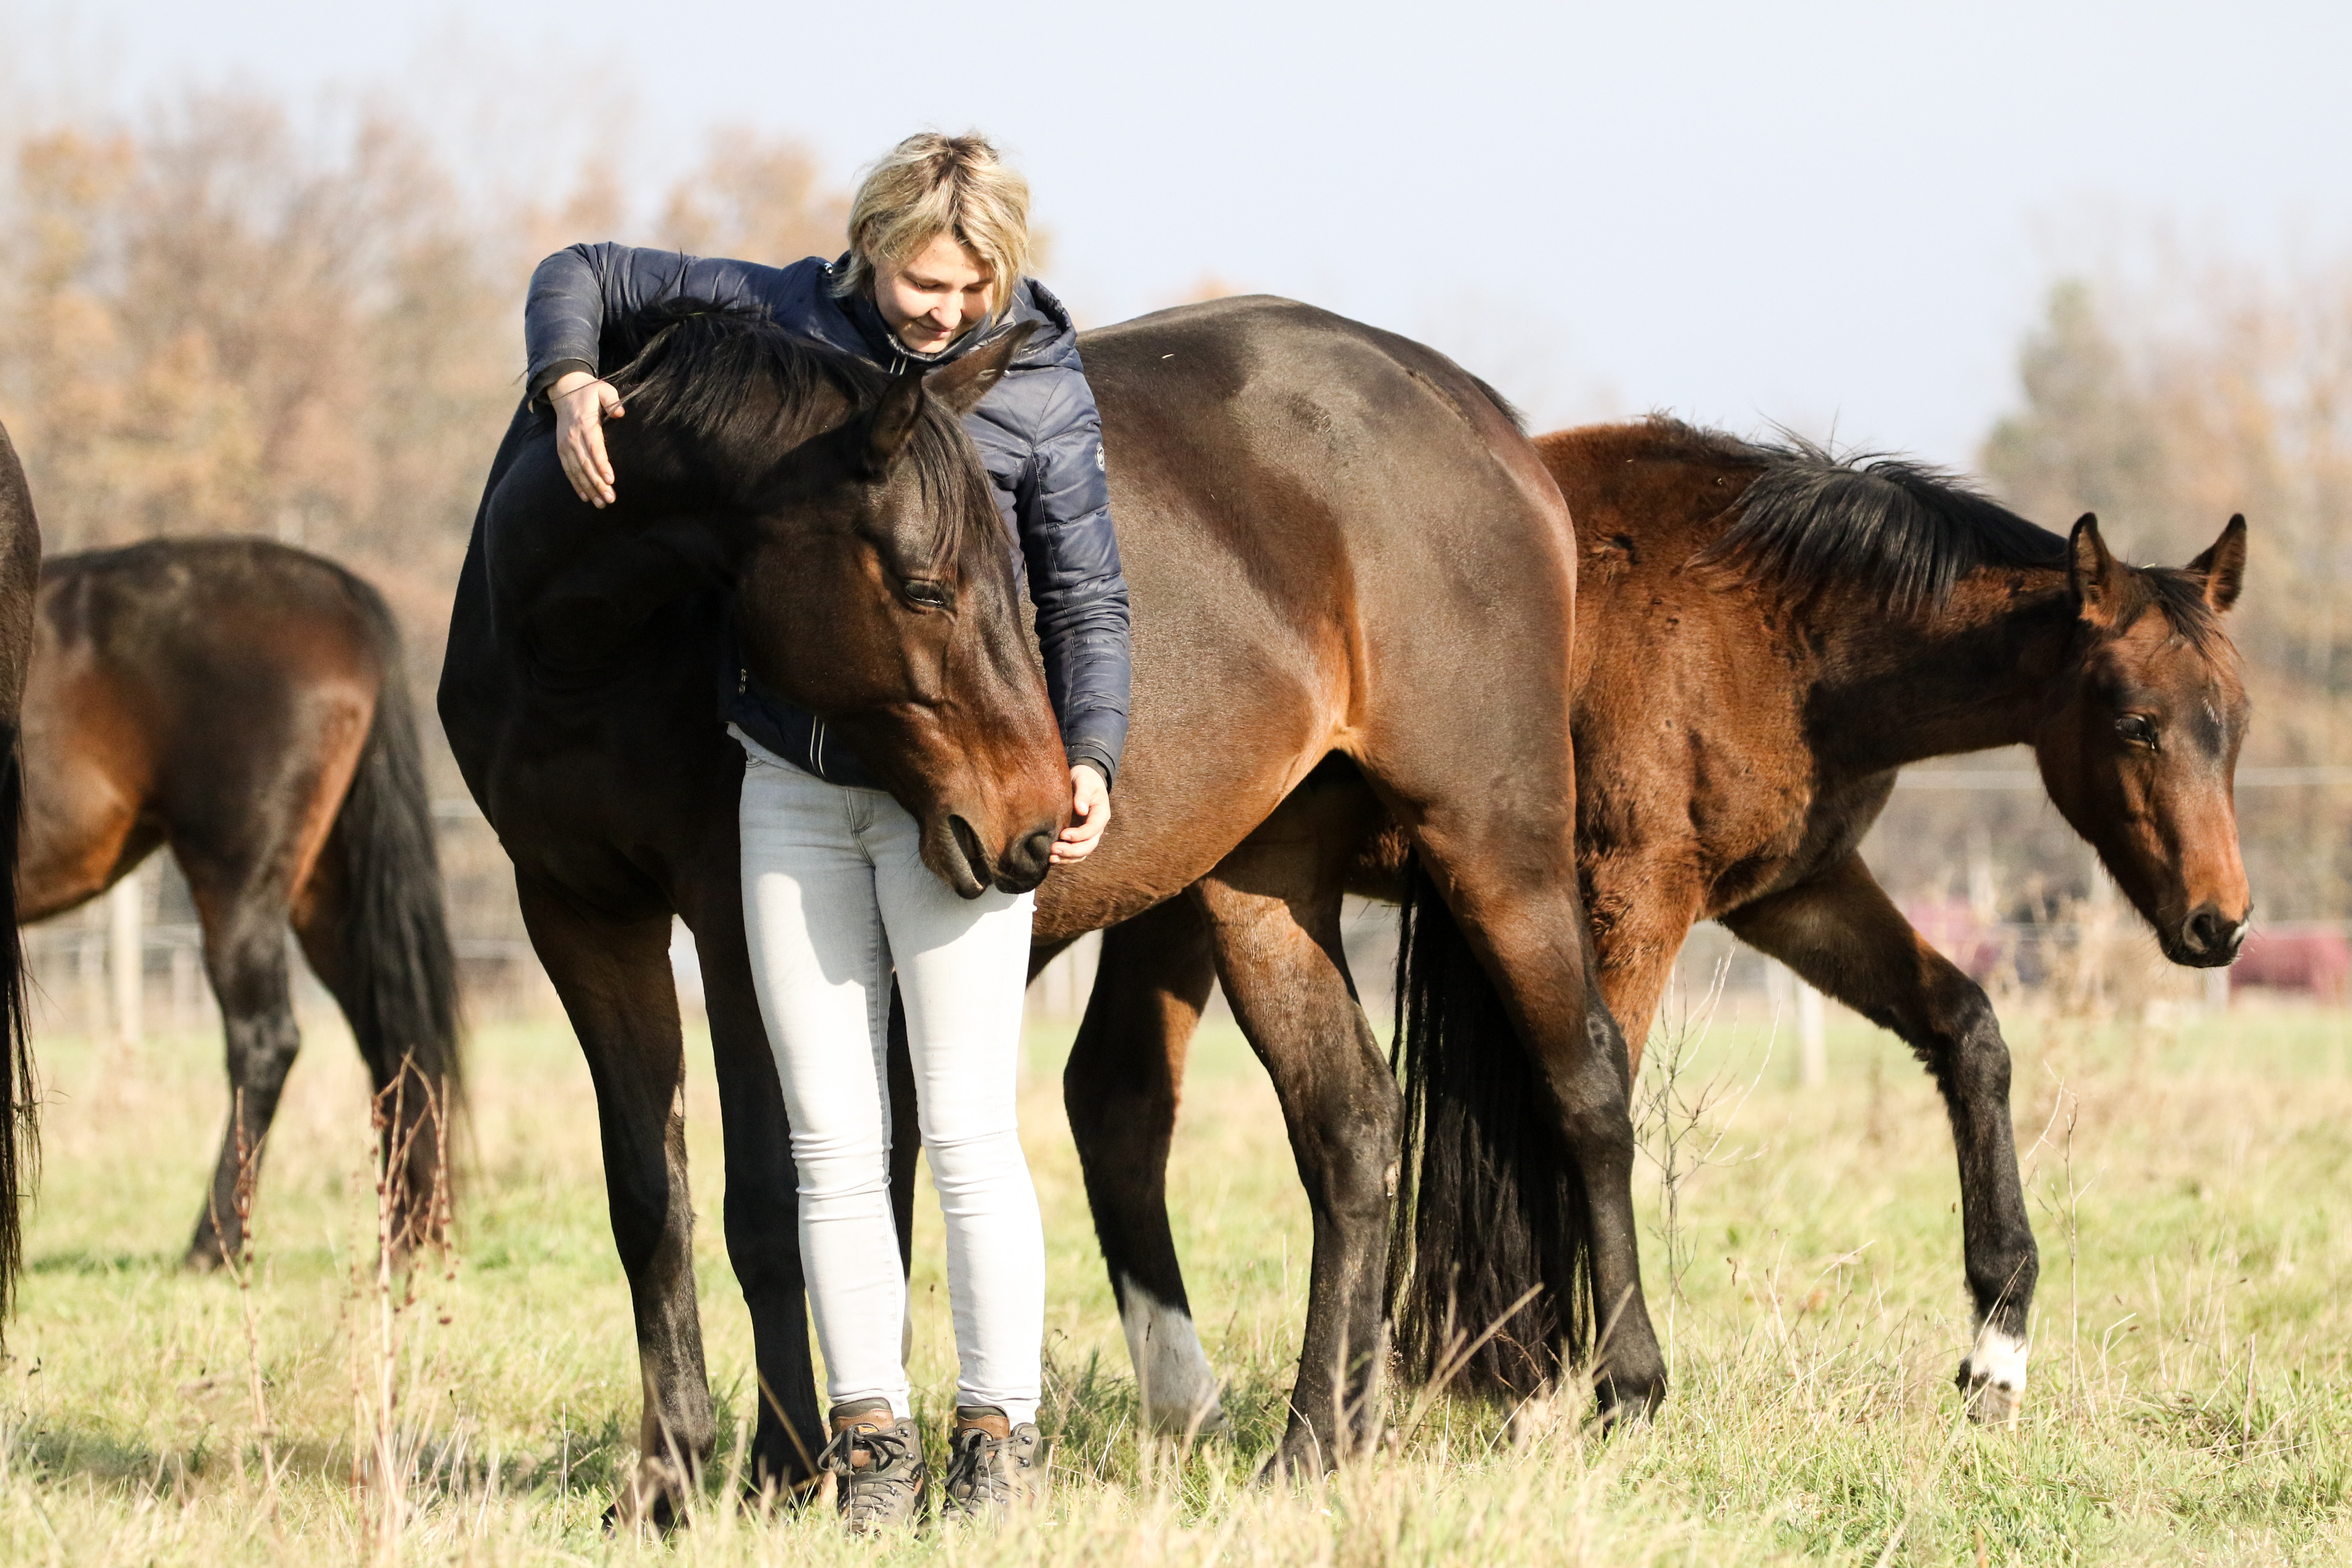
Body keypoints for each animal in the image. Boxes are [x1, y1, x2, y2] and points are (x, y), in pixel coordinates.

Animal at [18, 537, 462, 1269]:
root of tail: (343, 593)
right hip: (328, 892)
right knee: (390, 1040)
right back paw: (405, 1235)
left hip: (239, 885)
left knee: (264, 1042)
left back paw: (214, 1243)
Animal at [442, 295, 1656, 1517]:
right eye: (927, 585)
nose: (1034, 821)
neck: (584, 648)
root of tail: (1473, 414)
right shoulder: (578, 919)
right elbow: (651, 1202)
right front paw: (669, 1477)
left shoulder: (735, 926)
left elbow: (769, 1206)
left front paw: (777, 1468)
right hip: (1264, 887)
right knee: (1350, 1130)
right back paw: (1320, 1439)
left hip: (1493, 841)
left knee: (1586, 1082)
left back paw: (1629, 1386)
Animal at [1066, 415, 2251, 1435]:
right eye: (2135, 723)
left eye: (2232, 723)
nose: (2220, 924)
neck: (1766, 627)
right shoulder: (1633, 895)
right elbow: (1593, 1100)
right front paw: (1572, 1383)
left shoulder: (1794, 892)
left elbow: (1968, 1032)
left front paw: (1997, 1347)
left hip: (1183, 901)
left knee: (1117, 1100)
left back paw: (1189, 1407)